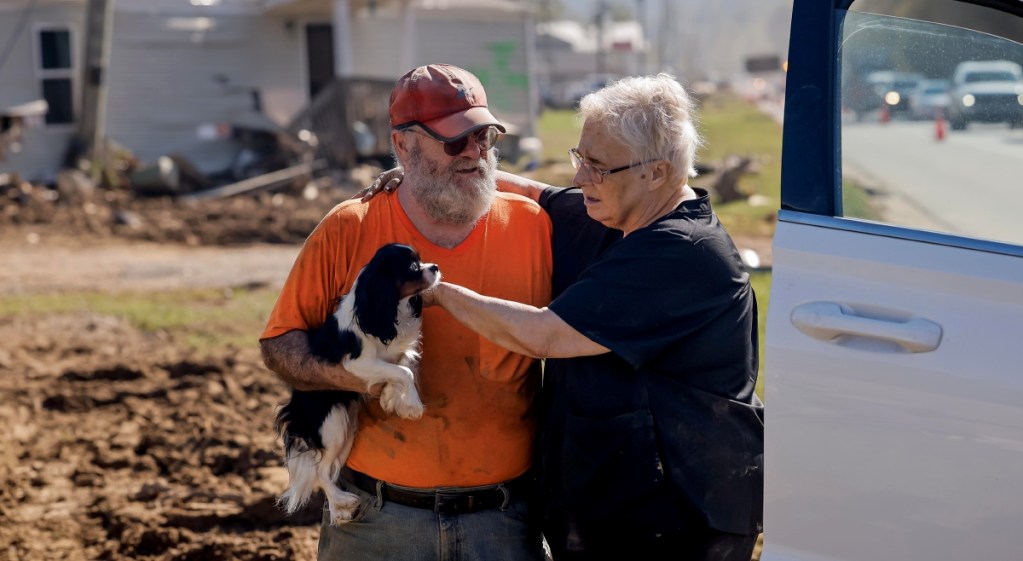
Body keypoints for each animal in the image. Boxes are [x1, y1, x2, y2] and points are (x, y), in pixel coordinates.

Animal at [276, 243, 439, 524]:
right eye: (413, 266)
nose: (436, 267)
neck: (385, 308)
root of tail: (295, 411)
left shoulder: (394, 352)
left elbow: (404, 363)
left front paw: (391, 398)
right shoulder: (357, 364)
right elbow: (403, 372)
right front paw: (413, 407)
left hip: (347, 429)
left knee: (329, 470)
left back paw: (339, 510)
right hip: (332, 426)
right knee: (320, 472)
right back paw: (343, 501)